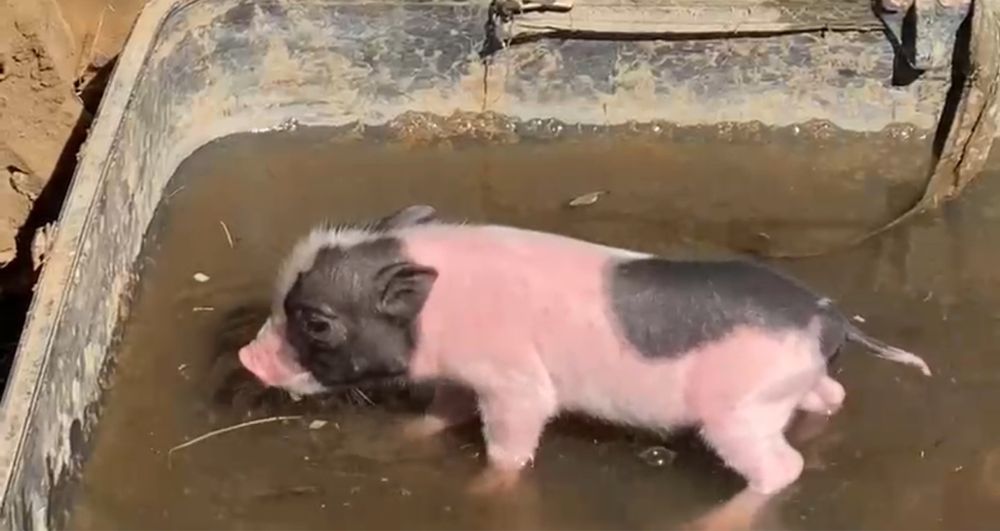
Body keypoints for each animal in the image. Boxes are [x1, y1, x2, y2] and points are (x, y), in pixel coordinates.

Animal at [238, 205, 931, 497]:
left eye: (317, 323)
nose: (247, 358)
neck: (442, 311)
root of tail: (827, 317)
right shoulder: (469, 376)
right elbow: (441, 412)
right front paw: (403, 439)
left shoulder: (516, 382)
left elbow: (512, 444)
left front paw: (483, 490)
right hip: (791, 388)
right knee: (830, 397)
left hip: (740, 412)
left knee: (782, 470)